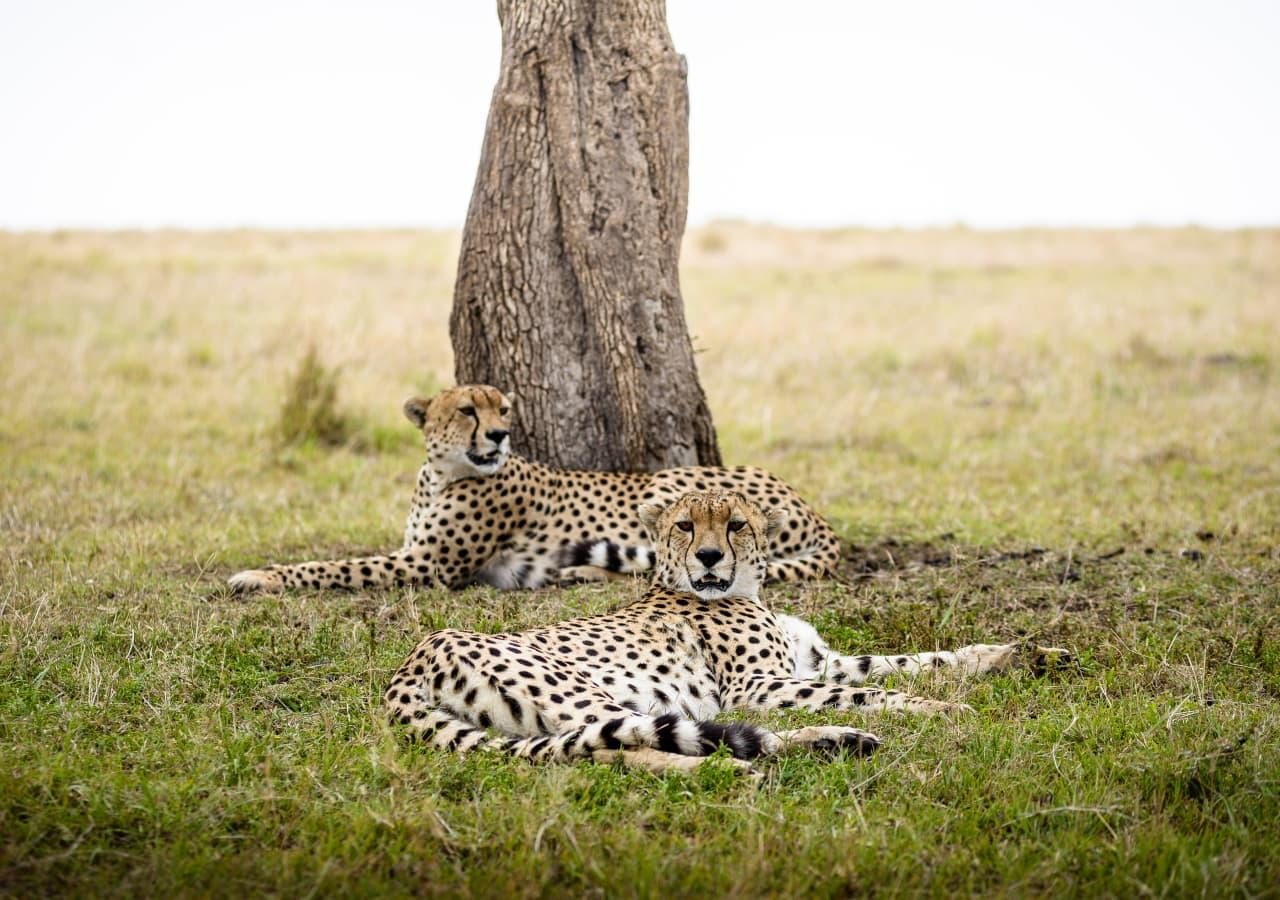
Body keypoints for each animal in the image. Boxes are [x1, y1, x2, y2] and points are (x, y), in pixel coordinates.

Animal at [229, 386, 839, 591]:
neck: (442, 474)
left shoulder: (427, 566)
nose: (499, 434)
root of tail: (813, 510)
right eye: (467, 410)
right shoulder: (414, 553)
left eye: (503, 409)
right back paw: (575, 573)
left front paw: (259, 577)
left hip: (670, 480)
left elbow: (331, 567)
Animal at [381, 489, 1070, 773]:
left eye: (736, 524)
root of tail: (414, 660)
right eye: (685, 526)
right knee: (617, 748)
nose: (710, 557)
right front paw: (946, 709)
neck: (746, 590)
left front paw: (1025, 654)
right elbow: (876, 688)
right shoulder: (757, 688)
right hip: (587, 695)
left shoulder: (814, 662)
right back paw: (743, 769)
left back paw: (834, 743)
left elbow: (907, 662)